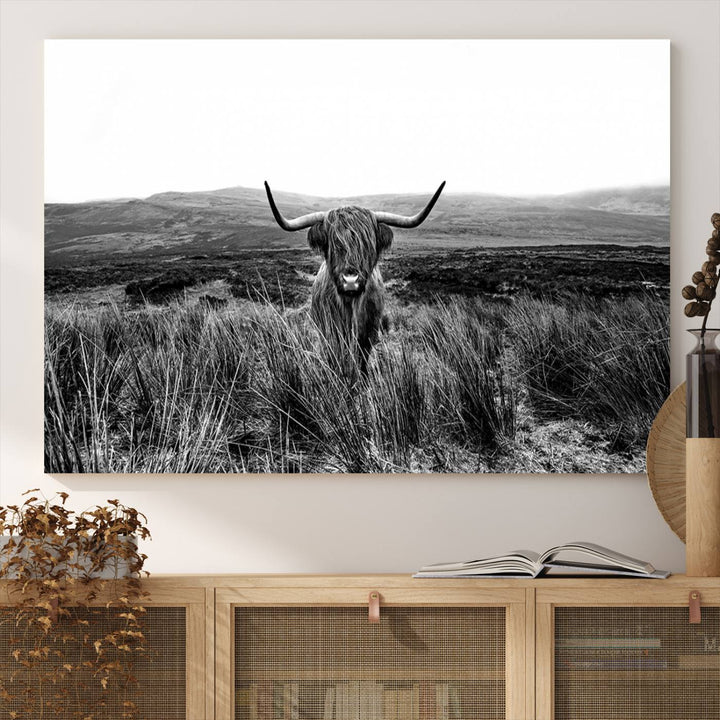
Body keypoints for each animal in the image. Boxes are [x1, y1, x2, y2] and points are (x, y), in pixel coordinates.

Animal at [264, 180, 444, 374]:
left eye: (367, 245)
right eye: (334, 244)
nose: (350, 281)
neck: (349, 306)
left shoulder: (369, 331)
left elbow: (361, 357)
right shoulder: (329, 330)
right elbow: (336, 355)